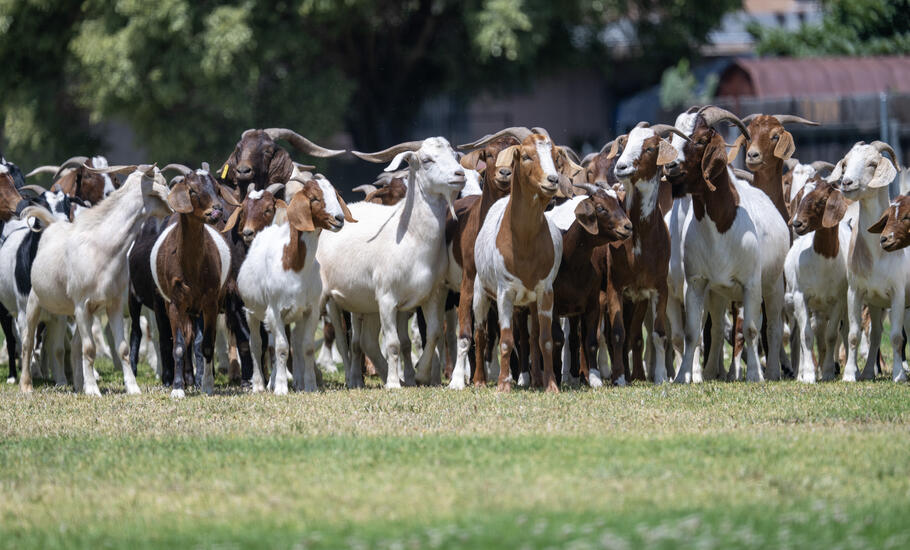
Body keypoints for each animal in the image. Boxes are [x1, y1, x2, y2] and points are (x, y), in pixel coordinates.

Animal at [18, 164, 171, 395]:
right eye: (162, 182)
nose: (175, 203)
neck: (103, 247)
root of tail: (52, 226)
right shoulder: (82, 304)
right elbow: (90, 349)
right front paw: (93, 390)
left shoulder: (113, 304)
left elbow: (122, 348)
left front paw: (132, 388)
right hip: (36, 301)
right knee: (28, 341)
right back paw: (26, 385)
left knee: (74, 346)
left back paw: (77, 385)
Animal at [238, 176, 354, 394]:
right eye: (314, 198)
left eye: (335, 194)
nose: (339, 218)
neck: (294, 264)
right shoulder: (275, 311)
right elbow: (282, 348)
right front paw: (281, 387)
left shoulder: (310, 310)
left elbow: (306, 347)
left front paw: (310, 385)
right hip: (251, 311)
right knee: (256, 344)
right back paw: (259, 385)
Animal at [318, 137, 465, 389]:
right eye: (427, 160)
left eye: (455, 156)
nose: (459, 174)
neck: (410, 237)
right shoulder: (387, 298)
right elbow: (394, 343)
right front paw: (395, 384)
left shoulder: (433, 294)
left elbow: (434, 333)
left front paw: (419, 374)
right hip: (334, 300)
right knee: (343, 339)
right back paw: (353, 379)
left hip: (365, 305)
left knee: (365, 341)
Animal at [664, 106, 790, 383]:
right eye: (672, 139)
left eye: (701, 140)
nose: (670, 166)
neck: (721, 225)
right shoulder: (696, 282)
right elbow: (692, 332)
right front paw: (683, 376)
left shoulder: (751, 283)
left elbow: (752, 330)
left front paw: (754, 375)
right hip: (718, 293)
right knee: (719, 328)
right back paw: (712, 371)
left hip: (774, 284)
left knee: (773, 327)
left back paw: (772, 372)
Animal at [832, 141, 907, 381]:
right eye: (845, 163)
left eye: (873, 163)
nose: (846, 182)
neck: (877, 254)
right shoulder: (856, 292)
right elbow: (855, 335)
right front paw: (849, 375)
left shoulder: (898, 293)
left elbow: (896, 336)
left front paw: (899, 376)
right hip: (875, 304)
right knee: (874, 335)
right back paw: (866, 373)